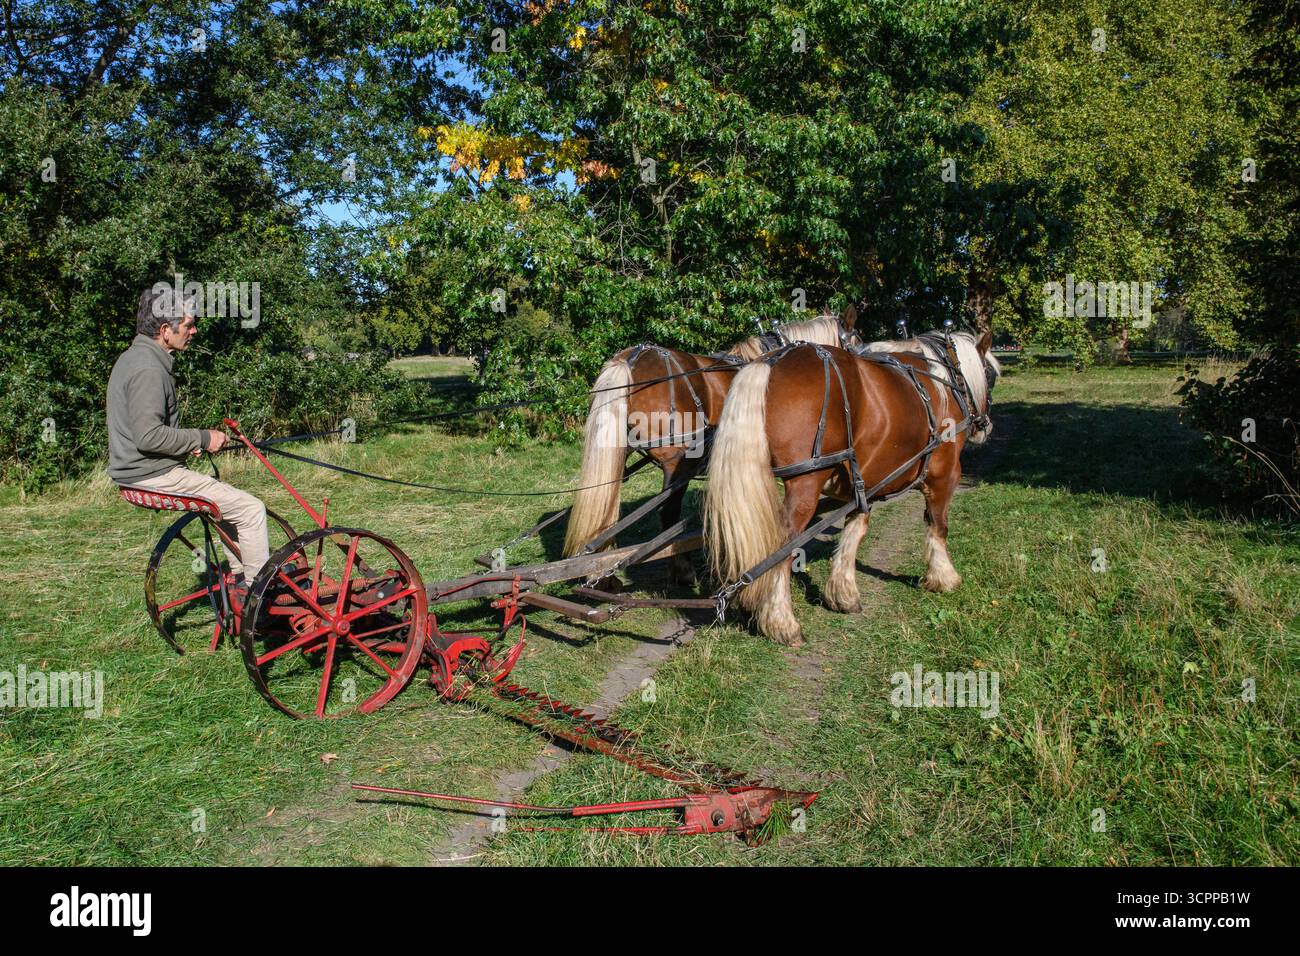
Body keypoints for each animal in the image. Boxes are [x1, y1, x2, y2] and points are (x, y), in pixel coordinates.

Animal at [563, 308, 863, 586]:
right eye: (856, 342)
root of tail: (631, 359)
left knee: (605, 505)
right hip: (676, 463)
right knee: (668, 513)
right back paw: (682, 571)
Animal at [703, 328, 1000, 646]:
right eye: (990, 374)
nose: (985, 426)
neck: (942, 380)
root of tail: (769, 362)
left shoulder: (864, 482)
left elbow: (855, 530)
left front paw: (843, 593)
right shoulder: (945, 476)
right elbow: (938, 525)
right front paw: (944, 577)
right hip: (806, 483)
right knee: (783, 545)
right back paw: (782, 622)